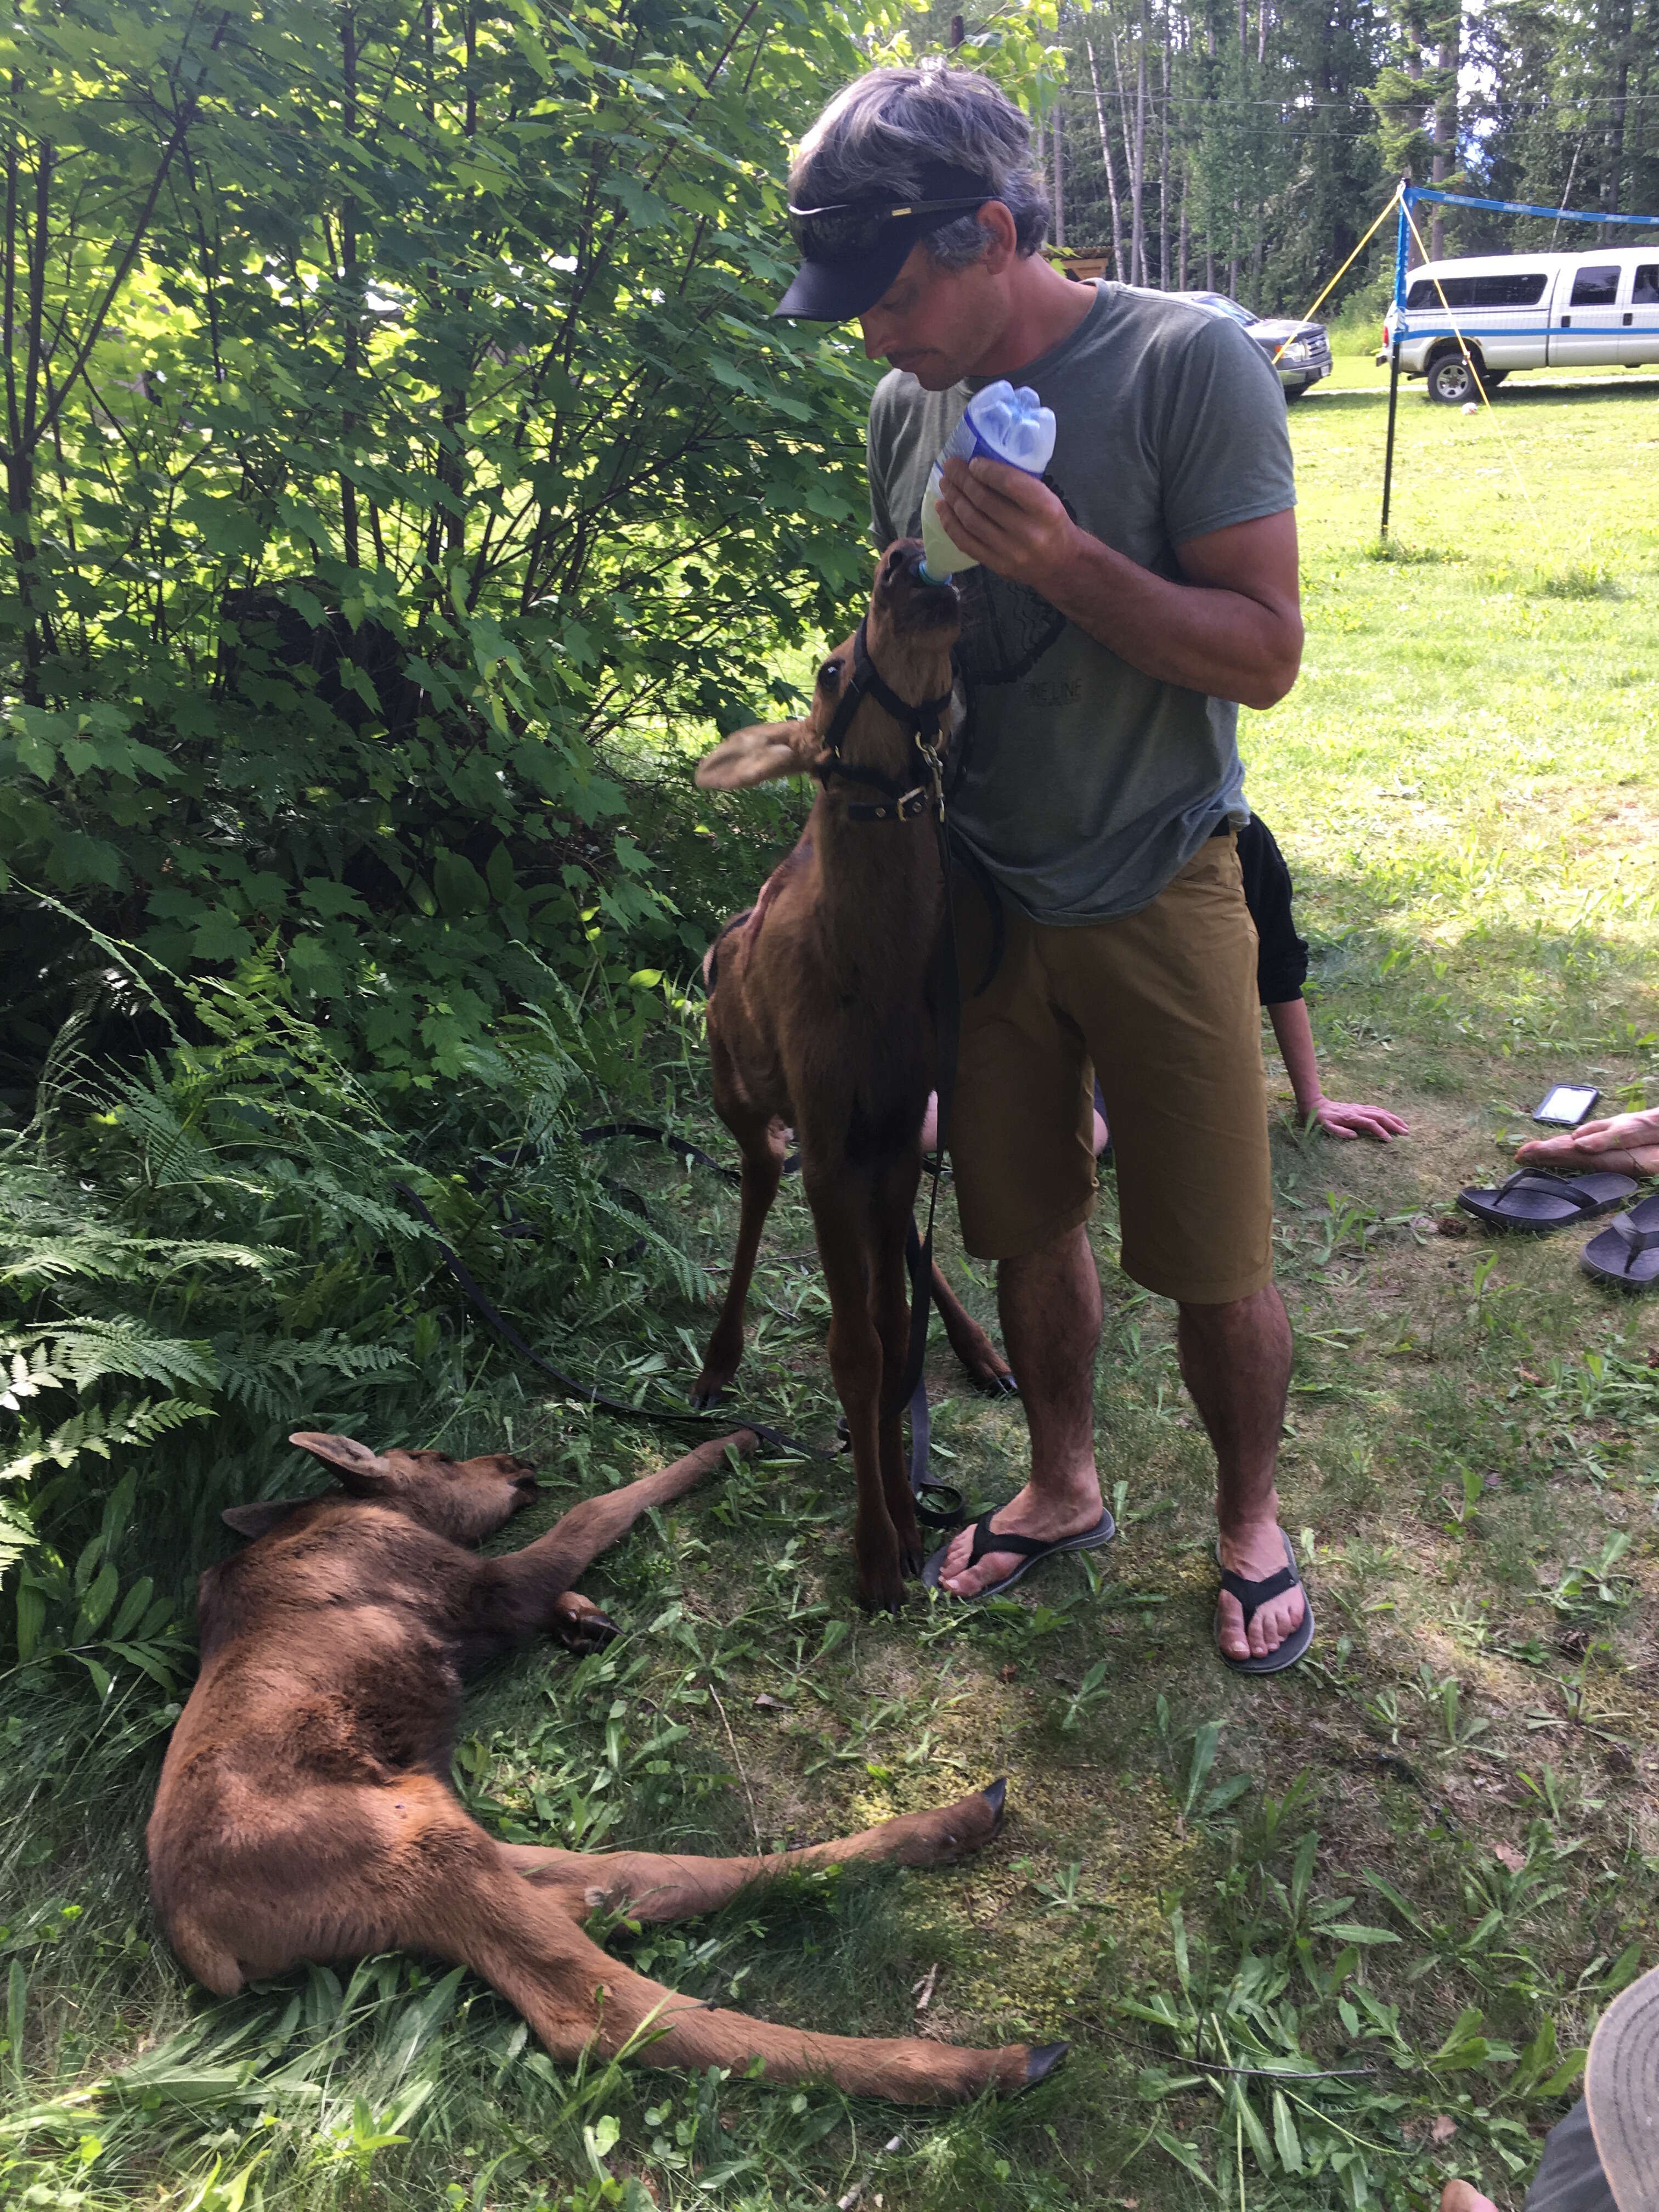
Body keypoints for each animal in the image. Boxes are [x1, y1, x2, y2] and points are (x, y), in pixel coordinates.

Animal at [153, 1424, 1066, 2097]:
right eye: (439, 1458)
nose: (512, 1463)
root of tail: (204, 1941)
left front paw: (586, 1613)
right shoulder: (483, 1588)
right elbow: (597, 1511)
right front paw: (723, 1447)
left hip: (451, 1831)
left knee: (631, 1878)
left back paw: (953, 1824)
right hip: (422, 1851)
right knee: (596, 2010)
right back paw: (981, 2065)